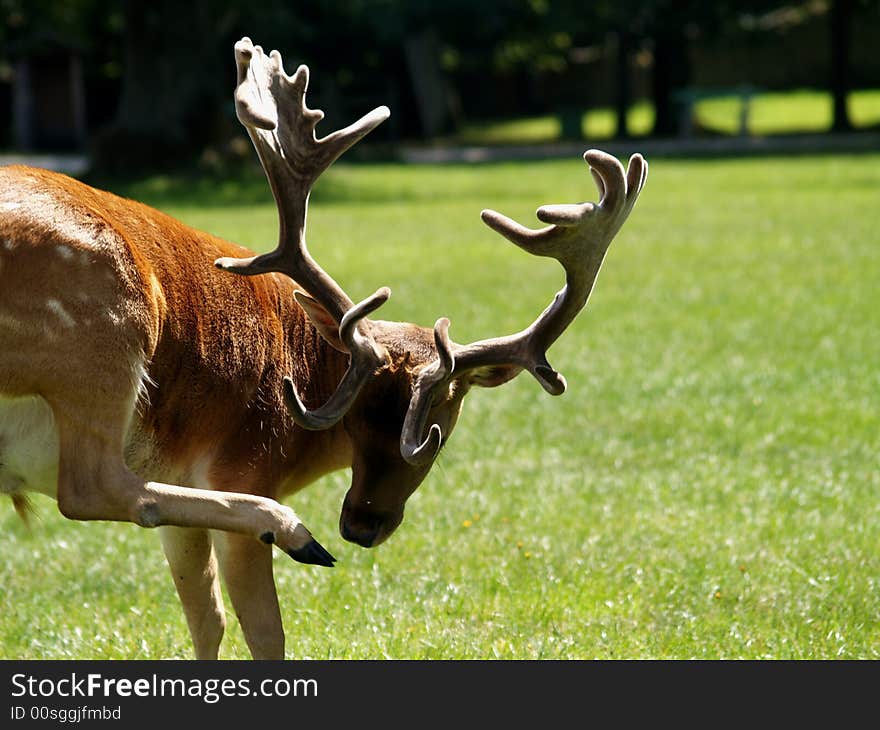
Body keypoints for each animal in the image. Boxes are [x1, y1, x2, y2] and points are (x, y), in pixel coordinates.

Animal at [0, 37, 648, 656]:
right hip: (105, 327)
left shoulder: (178, 486)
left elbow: (205, 620)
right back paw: (293, 531)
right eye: (358, 414)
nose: (362, 525)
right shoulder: (241, 462)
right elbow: (265, 632)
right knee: (88, 486)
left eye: (441, 423)